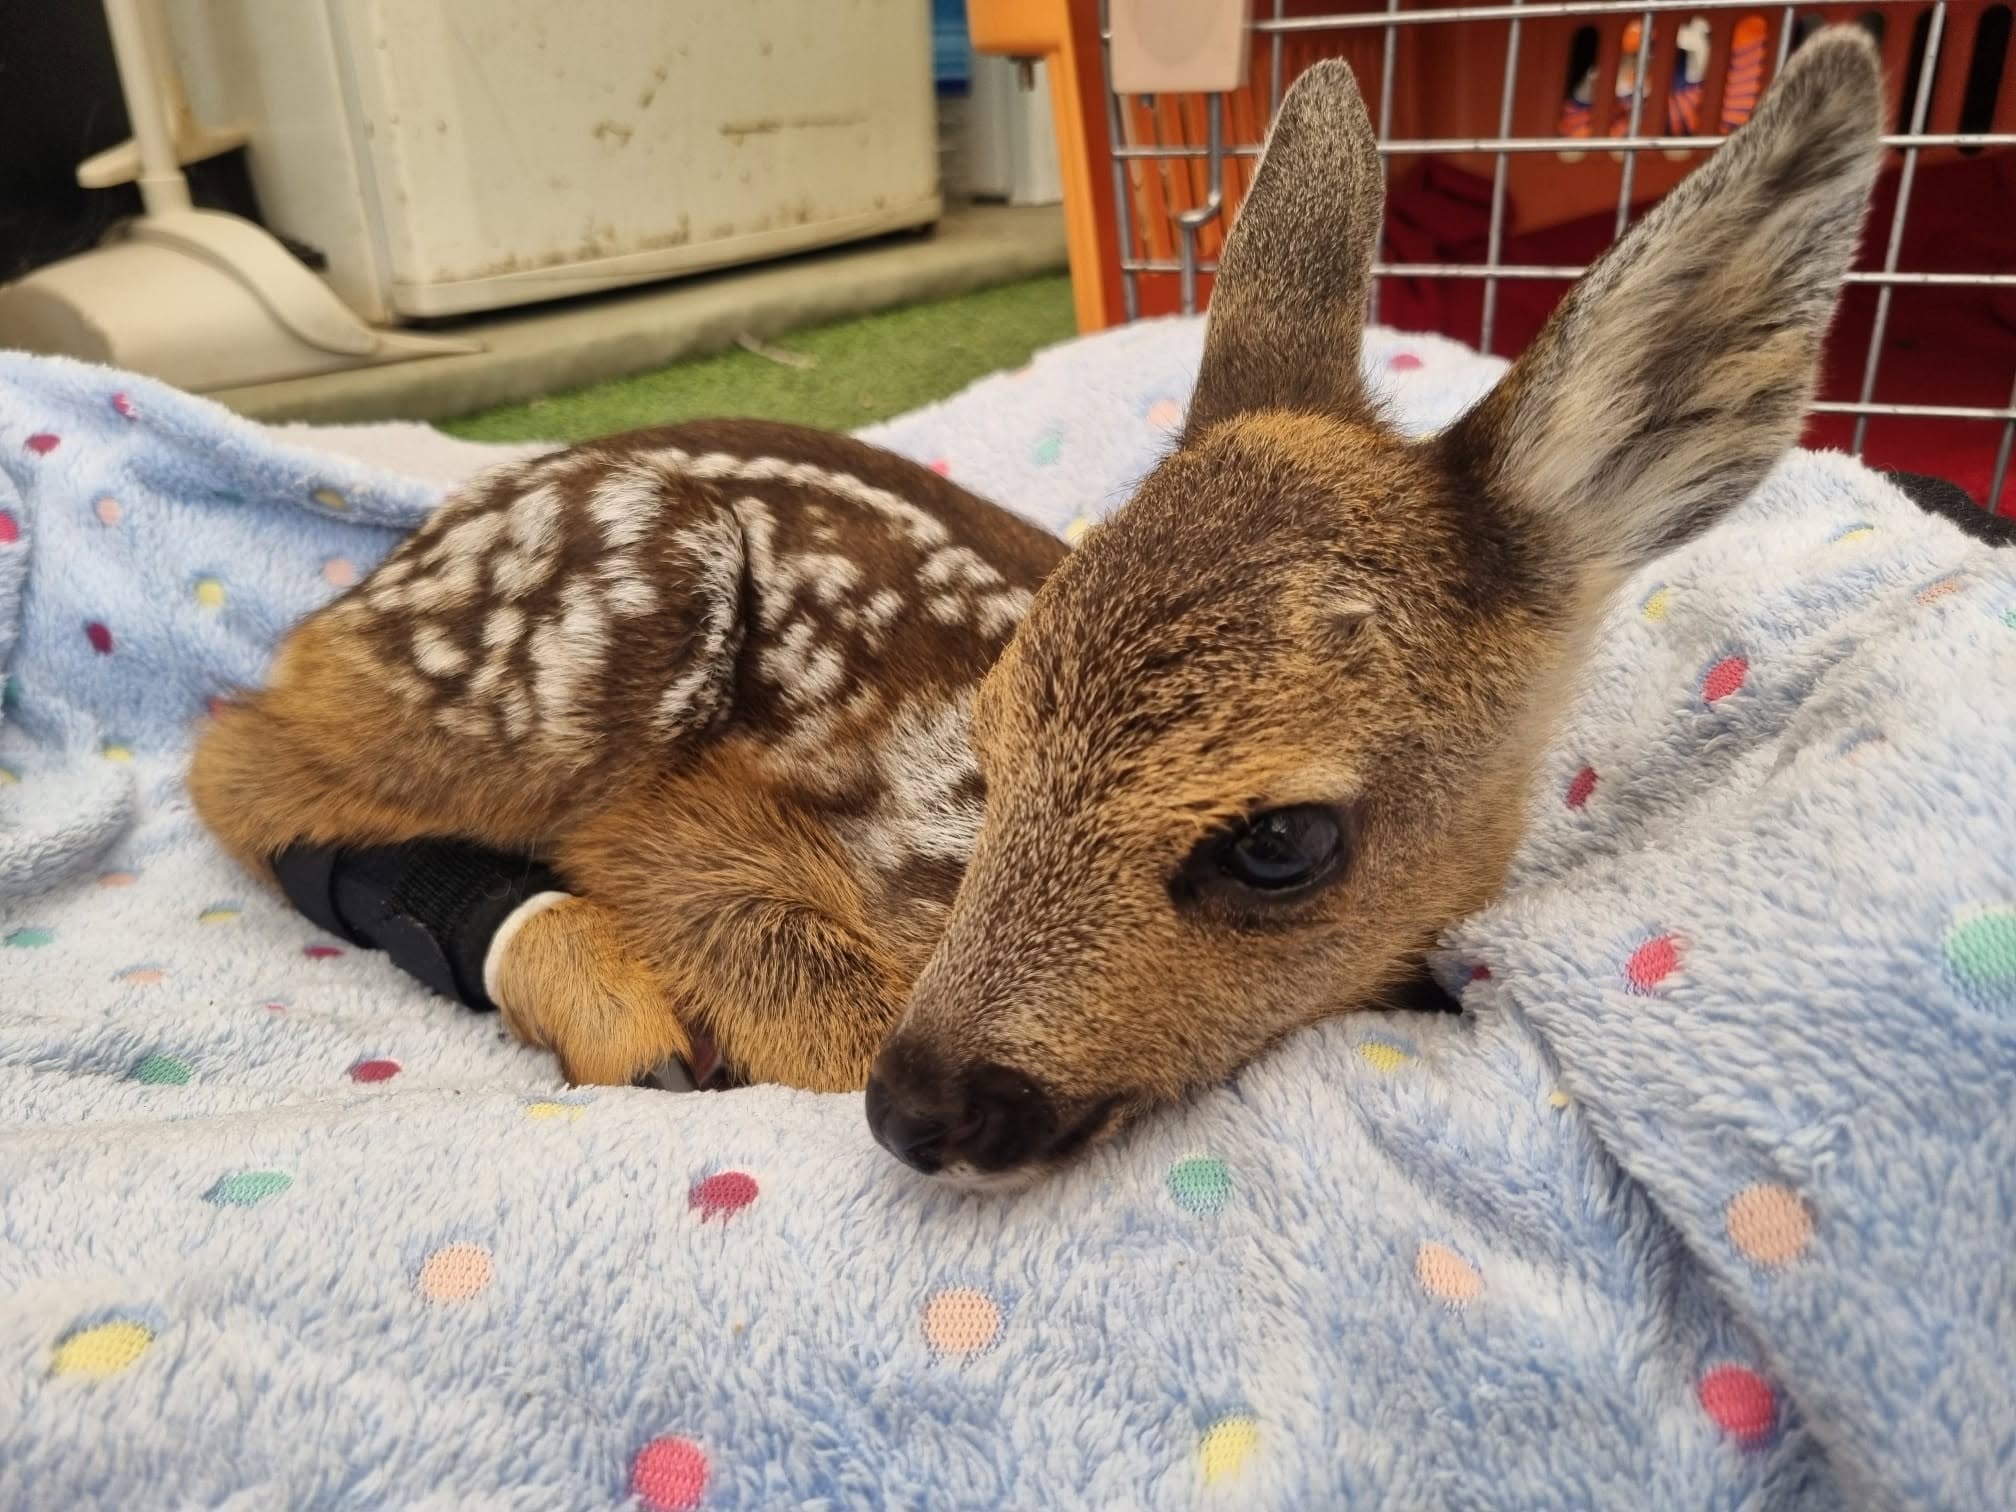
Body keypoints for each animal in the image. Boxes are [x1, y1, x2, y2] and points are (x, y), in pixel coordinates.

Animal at [190, 28, 1884, 1184]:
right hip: (616, 613)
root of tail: (386, 571)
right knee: (232, 752)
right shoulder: (692, 824)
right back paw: (610, 1007)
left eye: (1281, 842)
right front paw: (707, 1024)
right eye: (995, 750)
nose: (917, 1105)